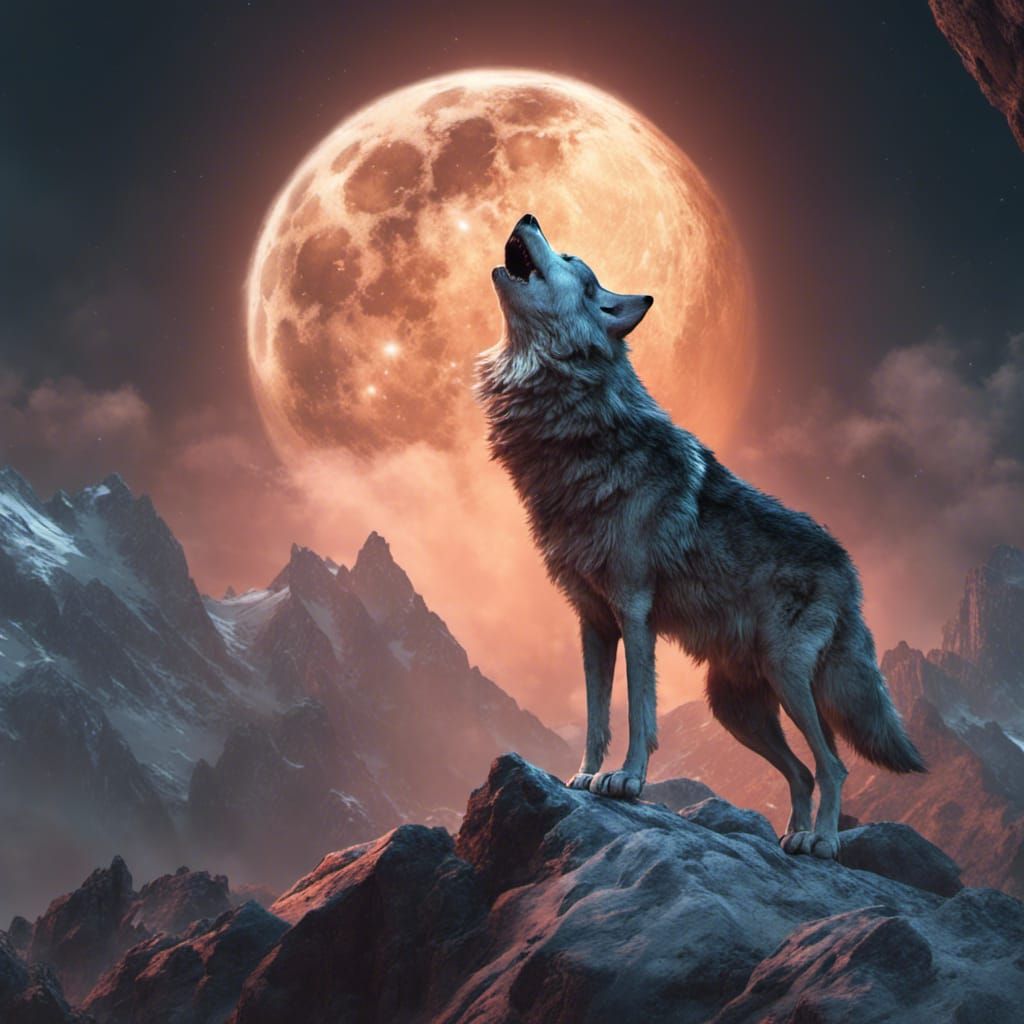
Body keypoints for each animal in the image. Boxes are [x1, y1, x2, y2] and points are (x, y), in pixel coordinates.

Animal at [475, 213, 926, 859]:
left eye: (571, 258)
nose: (529, 215)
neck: (579, 427)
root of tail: (850, 569)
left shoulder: (634, 610)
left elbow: (639, 712)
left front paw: (627, 781)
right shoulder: (592, 622)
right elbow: (595, 716)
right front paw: (584, 776)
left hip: (789, 679)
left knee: (834, 764)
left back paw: (821, 844)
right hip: (736, 708)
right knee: (803, 772)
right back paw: (791, 838)